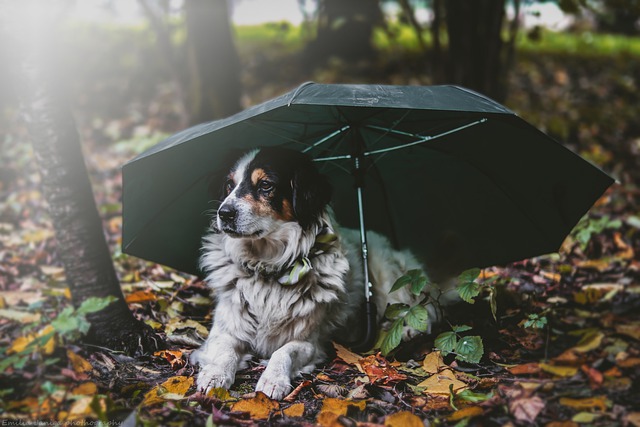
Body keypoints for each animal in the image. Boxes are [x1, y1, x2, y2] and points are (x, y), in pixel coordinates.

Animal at [190, 148, 460, 402]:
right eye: (229, 185)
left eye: (266, 185)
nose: (224, 213)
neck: (269, 268)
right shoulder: (225, 328)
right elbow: (224, 349)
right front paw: (215, 374)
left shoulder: (310, 342)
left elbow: (283, 352)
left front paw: (273, 378)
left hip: (390, 273)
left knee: (424, 309)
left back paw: (406, 329)